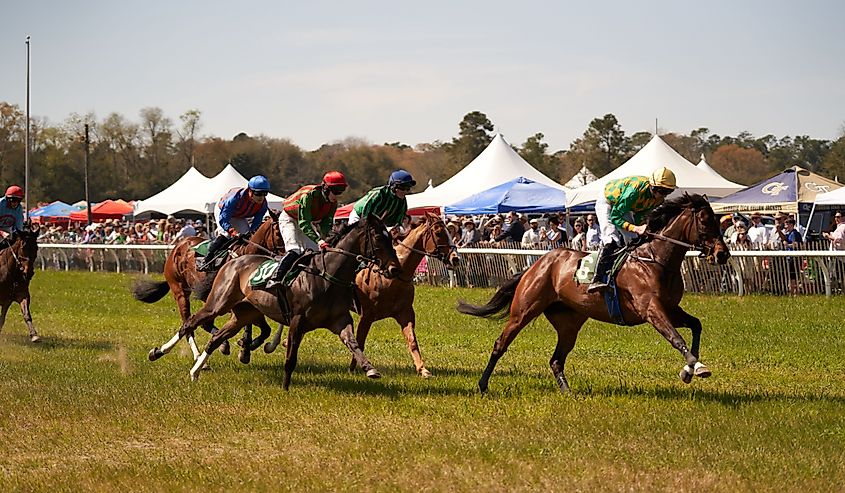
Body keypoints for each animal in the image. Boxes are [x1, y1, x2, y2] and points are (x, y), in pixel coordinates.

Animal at [132, 209, 282, 360]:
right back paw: (195, 355)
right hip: (180, 291)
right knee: (188, 324)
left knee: (202, 323)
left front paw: (246, 347)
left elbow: (265, 329)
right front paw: (244, 347)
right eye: (278, 232)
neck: (246, 255)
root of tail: (180, 244)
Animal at [148, 215, 402, 388]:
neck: (326, 275)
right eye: (378, 238)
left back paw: (196, 370)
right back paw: (158, 352)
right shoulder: (297, 321)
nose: (394, 269)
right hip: (216, 303)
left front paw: (370, 369)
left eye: (392, 238)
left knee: (216, 337)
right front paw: (286, 386)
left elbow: (354, 343)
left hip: (244, 313)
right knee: (189, 323)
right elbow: (291, 356)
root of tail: (232, 261)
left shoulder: (340, 320)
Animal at [348, 211, 462, 376]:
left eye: (449, 231)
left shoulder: (405, 313)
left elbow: (412, 341)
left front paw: (422, 369)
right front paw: (353, 368)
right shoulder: (366, 316)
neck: (393, 276)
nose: (455, 259)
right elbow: (359, 342)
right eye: (439, 233)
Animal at [458, 192, 728, 392]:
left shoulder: (671, 309)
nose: (722, 254)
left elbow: (696, 325)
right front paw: (696, 367)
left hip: (569, 322)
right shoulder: (651, 309)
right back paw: (482, 385)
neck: (654, 261)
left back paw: (567, 392)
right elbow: (676, 337)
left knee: (556, 360)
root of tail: (537, 263)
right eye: (705, 221)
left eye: (718, 220)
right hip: (523, 310)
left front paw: (689, 371)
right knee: (500, 344)